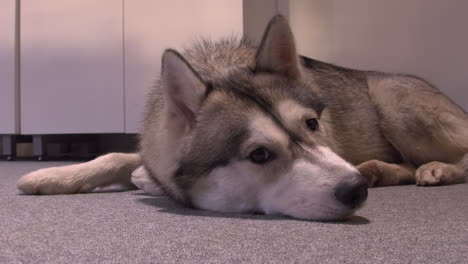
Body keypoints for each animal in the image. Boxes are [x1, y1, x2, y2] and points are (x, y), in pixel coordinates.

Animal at [15, 15, 468, 220]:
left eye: (312, 124)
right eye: (259, 155)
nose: (355, 188)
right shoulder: (152, 152)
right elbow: (114, 157)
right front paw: (52, 175)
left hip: (395, 102)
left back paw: (435, 169)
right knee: (403, 166)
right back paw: (381, 169)